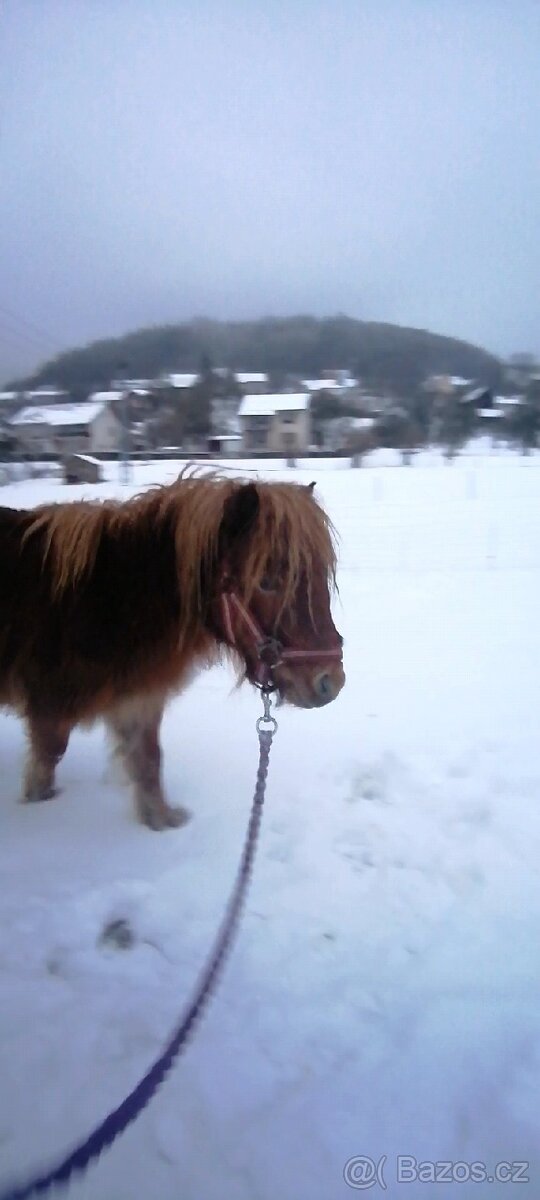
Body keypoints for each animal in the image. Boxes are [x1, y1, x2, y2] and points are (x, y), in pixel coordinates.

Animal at [0, 471, 345, 829]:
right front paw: (37, 809)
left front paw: (161, 820)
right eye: (266, 580)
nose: (330, 681)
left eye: (322, 574)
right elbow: (48, 760)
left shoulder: (137, 695)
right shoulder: (48, 704)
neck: (105, 601)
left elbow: (149, 759)